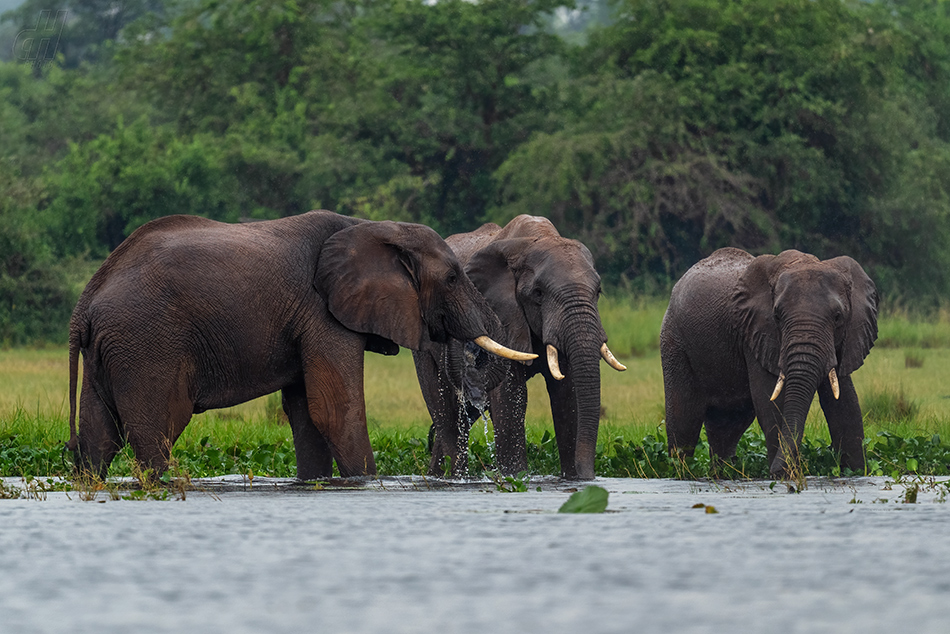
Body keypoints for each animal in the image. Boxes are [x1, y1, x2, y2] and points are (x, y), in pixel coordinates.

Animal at [66, 211, 536, 478]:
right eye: (453, 278)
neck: (375, 230)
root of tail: (86, 300)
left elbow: (307, 414)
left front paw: (316, 484)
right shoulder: (322, 312)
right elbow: (335, 410)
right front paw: (366, 483)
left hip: (111, 350)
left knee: (99, 436)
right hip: (146, 345)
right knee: (155, 434)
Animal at [412, 215, 628, 476]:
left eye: (598, 292)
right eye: (538, 293)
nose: (589, 475)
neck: (536, 239)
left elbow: (567, 395)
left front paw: (572, 479)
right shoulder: (501, 314)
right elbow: (510, 395)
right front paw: (516, 477)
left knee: (463, 415)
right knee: (443, 410)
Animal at [660, 247, 876, 474]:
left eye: (838, 317)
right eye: (777, 316)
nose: (774, 470)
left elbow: (846, 406)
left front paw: (856, 473)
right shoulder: (756, 334)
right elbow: (771, 406)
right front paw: (784, 476)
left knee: (727, 426)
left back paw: (724, 473)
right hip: (673, 341)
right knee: (684, 421)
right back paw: (680, 471)